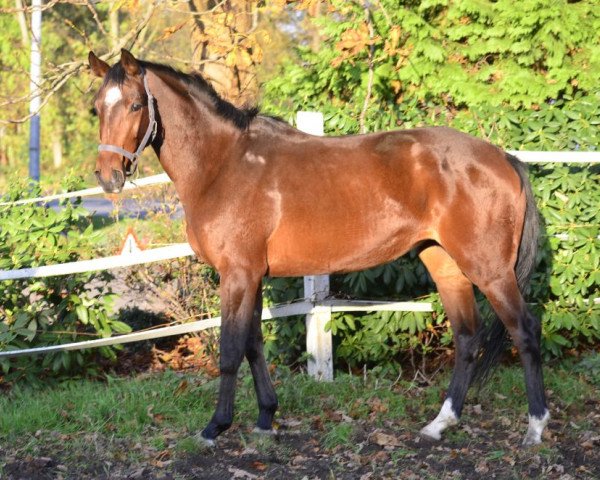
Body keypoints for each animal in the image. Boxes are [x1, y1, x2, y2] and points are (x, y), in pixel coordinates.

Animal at [88, 49, 548, 446]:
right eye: (97, 108)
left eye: (135, 105)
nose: (109, 177)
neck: (223, 164)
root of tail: (502, 157)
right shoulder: (252, 275)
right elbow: (254, 345)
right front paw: (265, 419)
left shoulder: (236, 274)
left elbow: (231, 350)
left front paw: (215, 427)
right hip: (445, 263)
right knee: (467, 337)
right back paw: (439, 425)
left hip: (489, 268)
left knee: (524, 329)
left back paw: (535, 428)